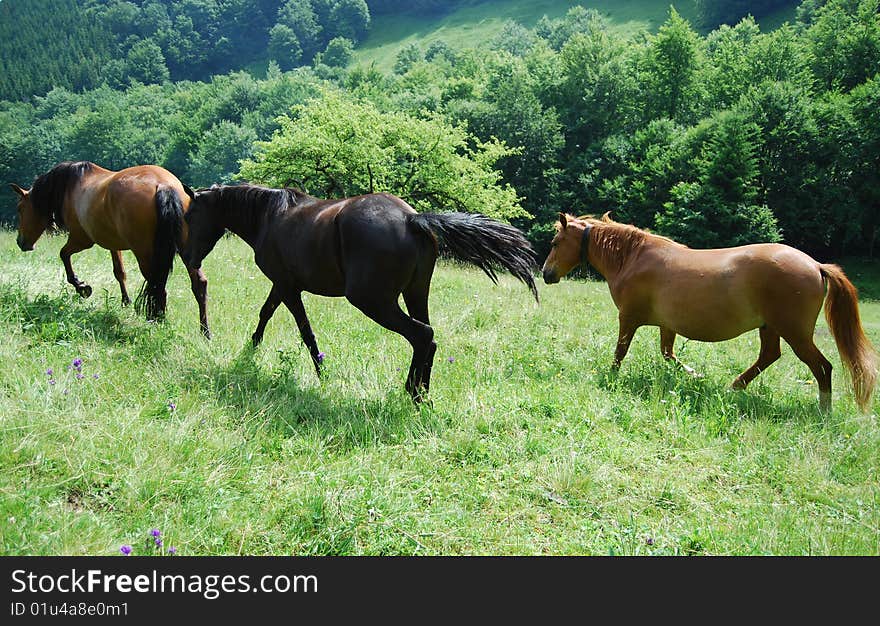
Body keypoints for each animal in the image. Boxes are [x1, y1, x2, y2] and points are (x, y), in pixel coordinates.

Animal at [10, 161, 211, 336]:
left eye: (19, 208)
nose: (20, 242)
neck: (71, 185)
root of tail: (163, 186)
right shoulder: (114, 245)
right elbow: (119, 272)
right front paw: (125, 301)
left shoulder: (81, 240)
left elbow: (64, 255)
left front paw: (81, 287)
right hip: (187, 251)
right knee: (198, 284)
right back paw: (205, 331)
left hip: (145, 254)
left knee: (157, 287)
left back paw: (157, 320)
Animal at [179, 183, 536, 402]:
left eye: (190, 214)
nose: (189, 258)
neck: (269, 216)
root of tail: (411, 218)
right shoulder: (283, 286)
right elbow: (266, 314)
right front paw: (250, 352)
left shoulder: (287, 286)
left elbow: (303, 330)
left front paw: (320, 372)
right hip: (415, 294)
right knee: (429, 338)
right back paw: (423, 394)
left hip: (373, 301)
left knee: (422, 335)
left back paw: (412, 392)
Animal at [540, 212, 876, 412]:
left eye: (555, 242)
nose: (546, 273)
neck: (632, 259)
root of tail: (816, 265)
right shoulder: (667, 325)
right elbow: (668, 354)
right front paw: (695, 375)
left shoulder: (629, 318)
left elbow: (620, 352)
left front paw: (611, 377)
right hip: (770, 328)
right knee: (769, 356)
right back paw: (733, 387)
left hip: (795, 333)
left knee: (823, 367)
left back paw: (823, 409)